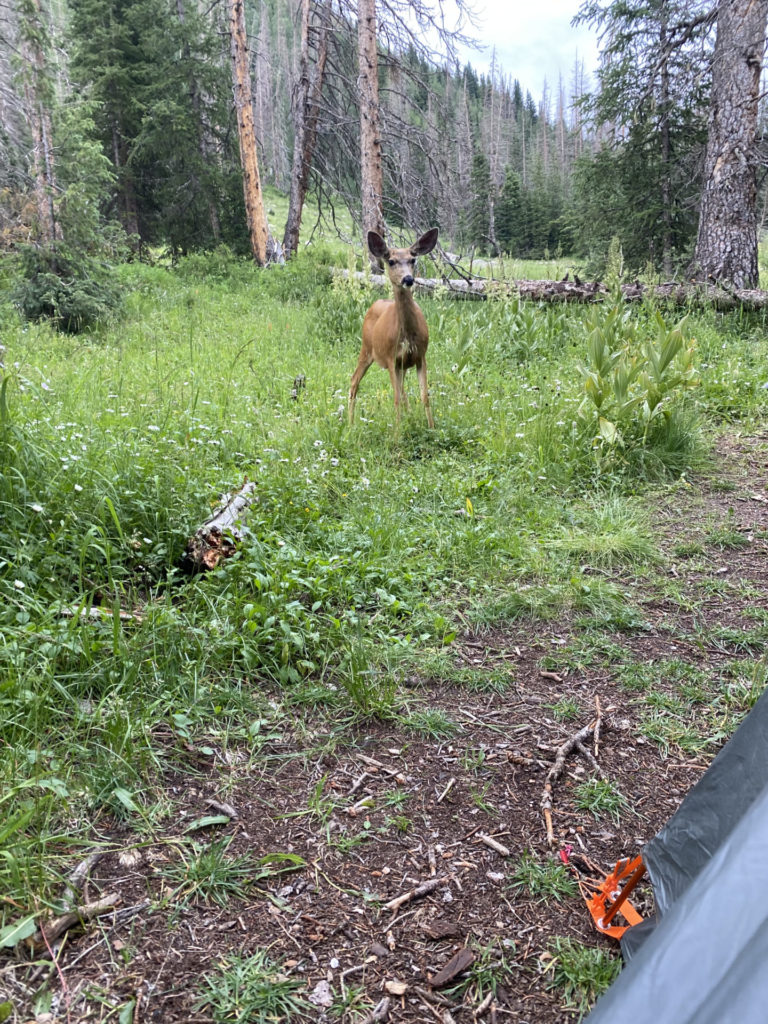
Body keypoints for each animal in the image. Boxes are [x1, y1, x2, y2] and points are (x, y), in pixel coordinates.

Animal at [348, 228, 438, 428]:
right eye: (391, 261)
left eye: (413, 259)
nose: (408, 279)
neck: (408, 335)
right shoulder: (391, 358)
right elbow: (395, 398)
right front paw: (397, 433)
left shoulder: (420, 356)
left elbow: (424, 396)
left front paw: (432, 428)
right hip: (366, 348)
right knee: (354, 380)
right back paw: (349, 423)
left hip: (401, 364)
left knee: (403, 390)